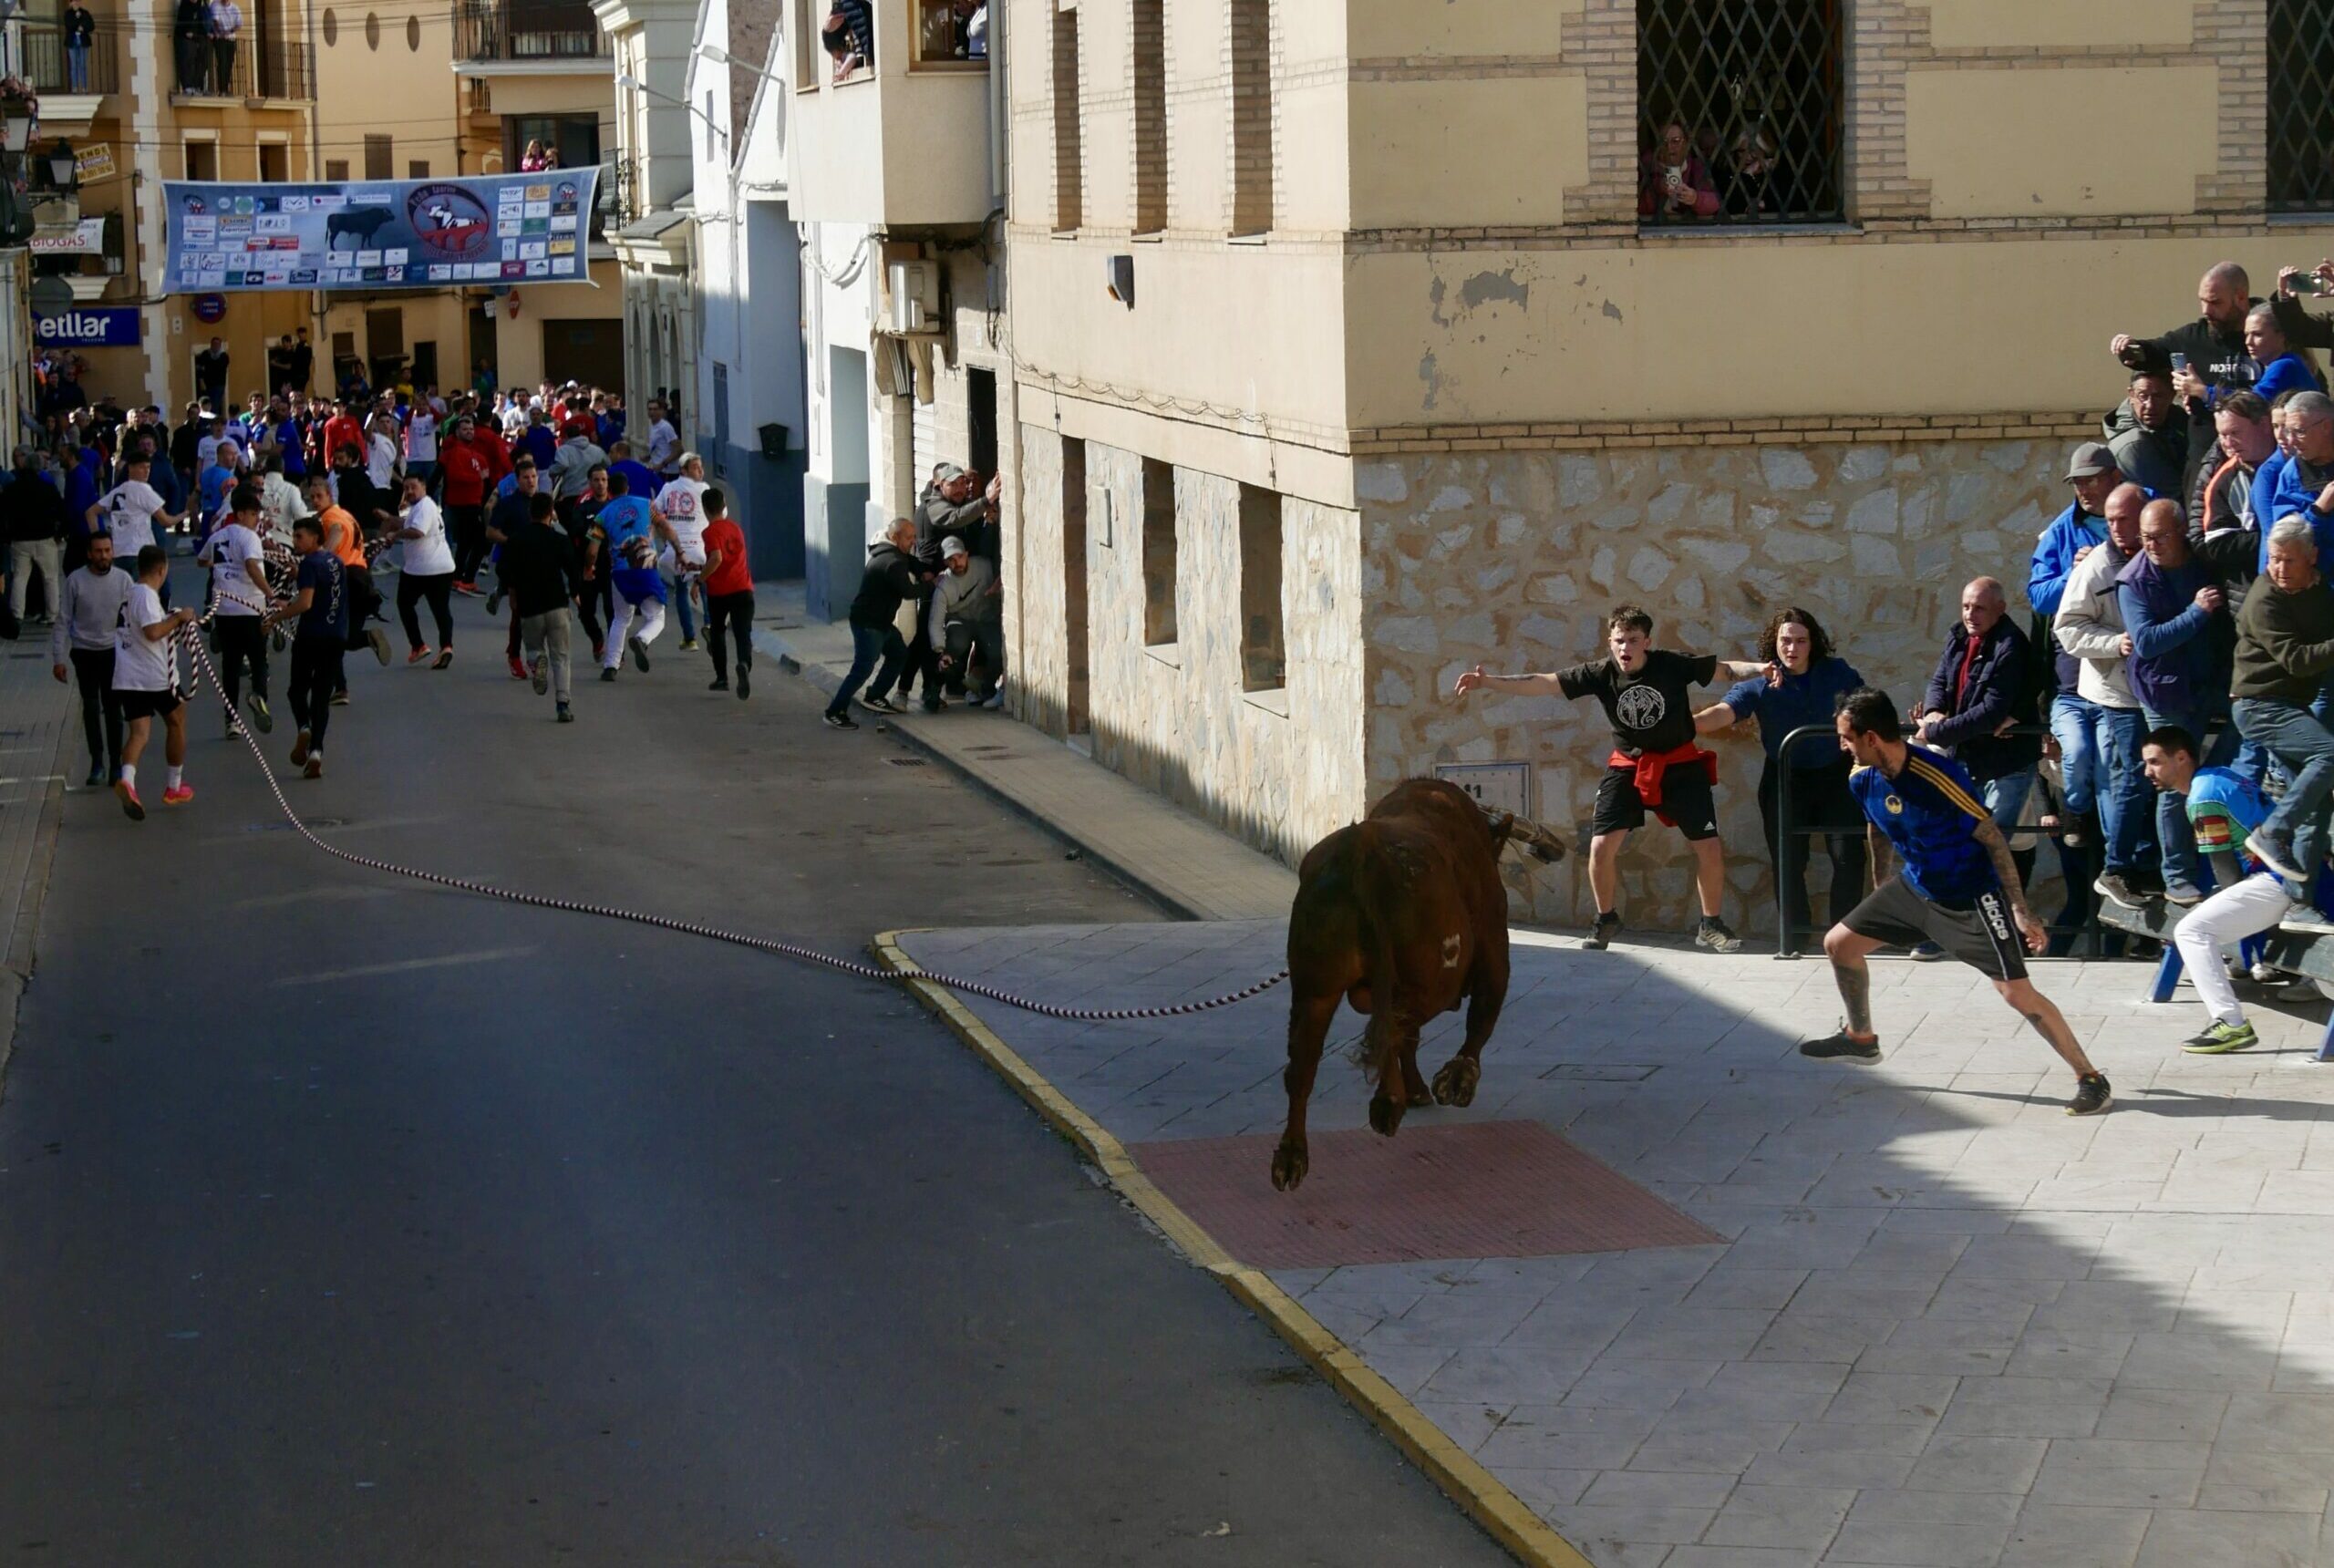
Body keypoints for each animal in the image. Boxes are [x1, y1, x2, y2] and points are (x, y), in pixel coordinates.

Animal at [1278, 769, 1568, 1190]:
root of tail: (1361, 850)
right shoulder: (1494, 949)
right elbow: (1480, 1015)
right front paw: (1455, 1079)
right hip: (1427, 980)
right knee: (1394, 1028)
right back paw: (1391, 1102)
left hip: (1315, 987)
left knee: (1303, 1064)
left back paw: (1292, 1155)